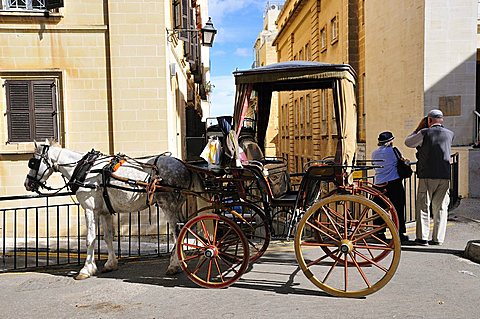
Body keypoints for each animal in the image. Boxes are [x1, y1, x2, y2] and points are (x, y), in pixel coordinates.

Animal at [23, 140, 203, 280]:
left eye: (33, 162)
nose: (27, 183)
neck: (84, 170)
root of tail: (183, 165)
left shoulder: (90, 209)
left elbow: (90, 239)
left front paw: (86, 269)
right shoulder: (105, 212)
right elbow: (108, 237)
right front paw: (110, 263)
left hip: (168, 205)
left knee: (177, 232)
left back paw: (174, 265)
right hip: (177, 205)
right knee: (184, 228)